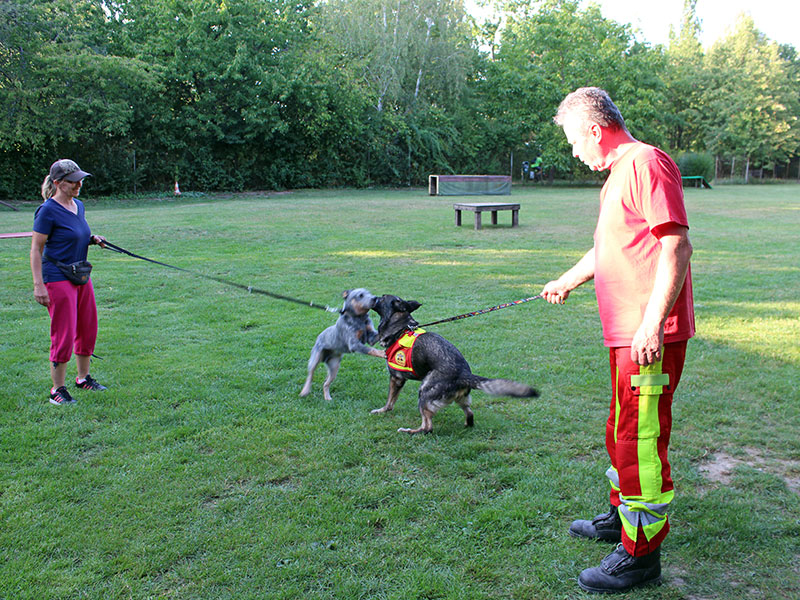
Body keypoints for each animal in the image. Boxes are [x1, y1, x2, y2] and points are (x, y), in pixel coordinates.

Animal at [368, 294, 536, 432]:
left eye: (382, 298)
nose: (372, 297)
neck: (401, 327)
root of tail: (464, 374)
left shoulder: (396, 379)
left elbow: (390, 401)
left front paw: (382, 411)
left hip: (424, 391)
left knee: (428, 428)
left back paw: (410, 431)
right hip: (461, 400)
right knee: (470, 413)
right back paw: (466, 425)